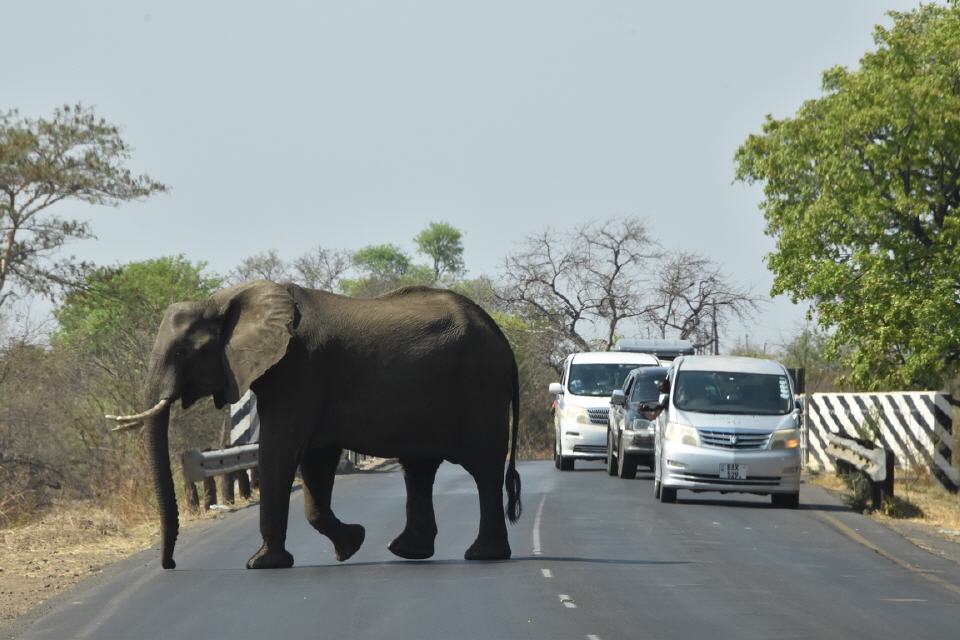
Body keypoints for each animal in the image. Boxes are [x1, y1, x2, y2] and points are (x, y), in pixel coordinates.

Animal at [108, 280, 520, 568]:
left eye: (181, 352)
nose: (170, 564)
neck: (226, 299)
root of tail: (501, 337)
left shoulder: (299, 371)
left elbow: (280, 450)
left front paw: (261, 564)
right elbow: (315, 460)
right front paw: (351, 545)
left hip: (480, 390)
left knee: (483, 468)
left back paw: (482, 555)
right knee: (419, 469)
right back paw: (408, 551)